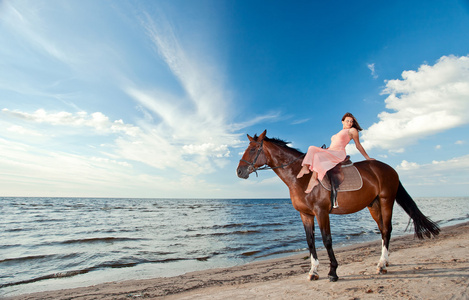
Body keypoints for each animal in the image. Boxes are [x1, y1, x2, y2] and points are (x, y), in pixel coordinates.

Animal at [238, 131, 438, 282]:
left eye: (253, 149)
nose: (239, 171)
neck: (301, 177)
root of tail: (390, 169)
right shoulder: (305, 214)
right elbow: (310, 241)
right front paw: (313, 271)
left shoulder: (321, 212)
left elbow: (327, 240)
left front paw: (333, 272)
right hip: (373, 205)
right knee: (382, 230)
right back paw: (385, 262)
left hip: (386, 200)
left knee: (387, 229)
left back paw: (381, 265)